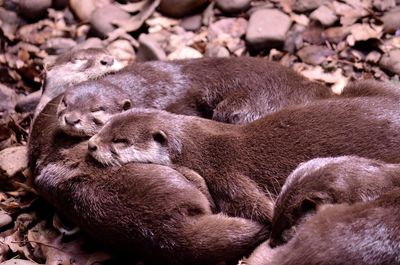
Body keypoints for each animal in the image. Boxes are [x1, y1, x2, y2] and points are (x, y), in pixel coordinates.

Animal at [86, 95, 400, 223]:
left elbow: (259, 207)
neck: (201, 146)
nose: (91, 146)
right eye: (104, 126)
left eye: (120, 141)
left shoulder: (228, 174)